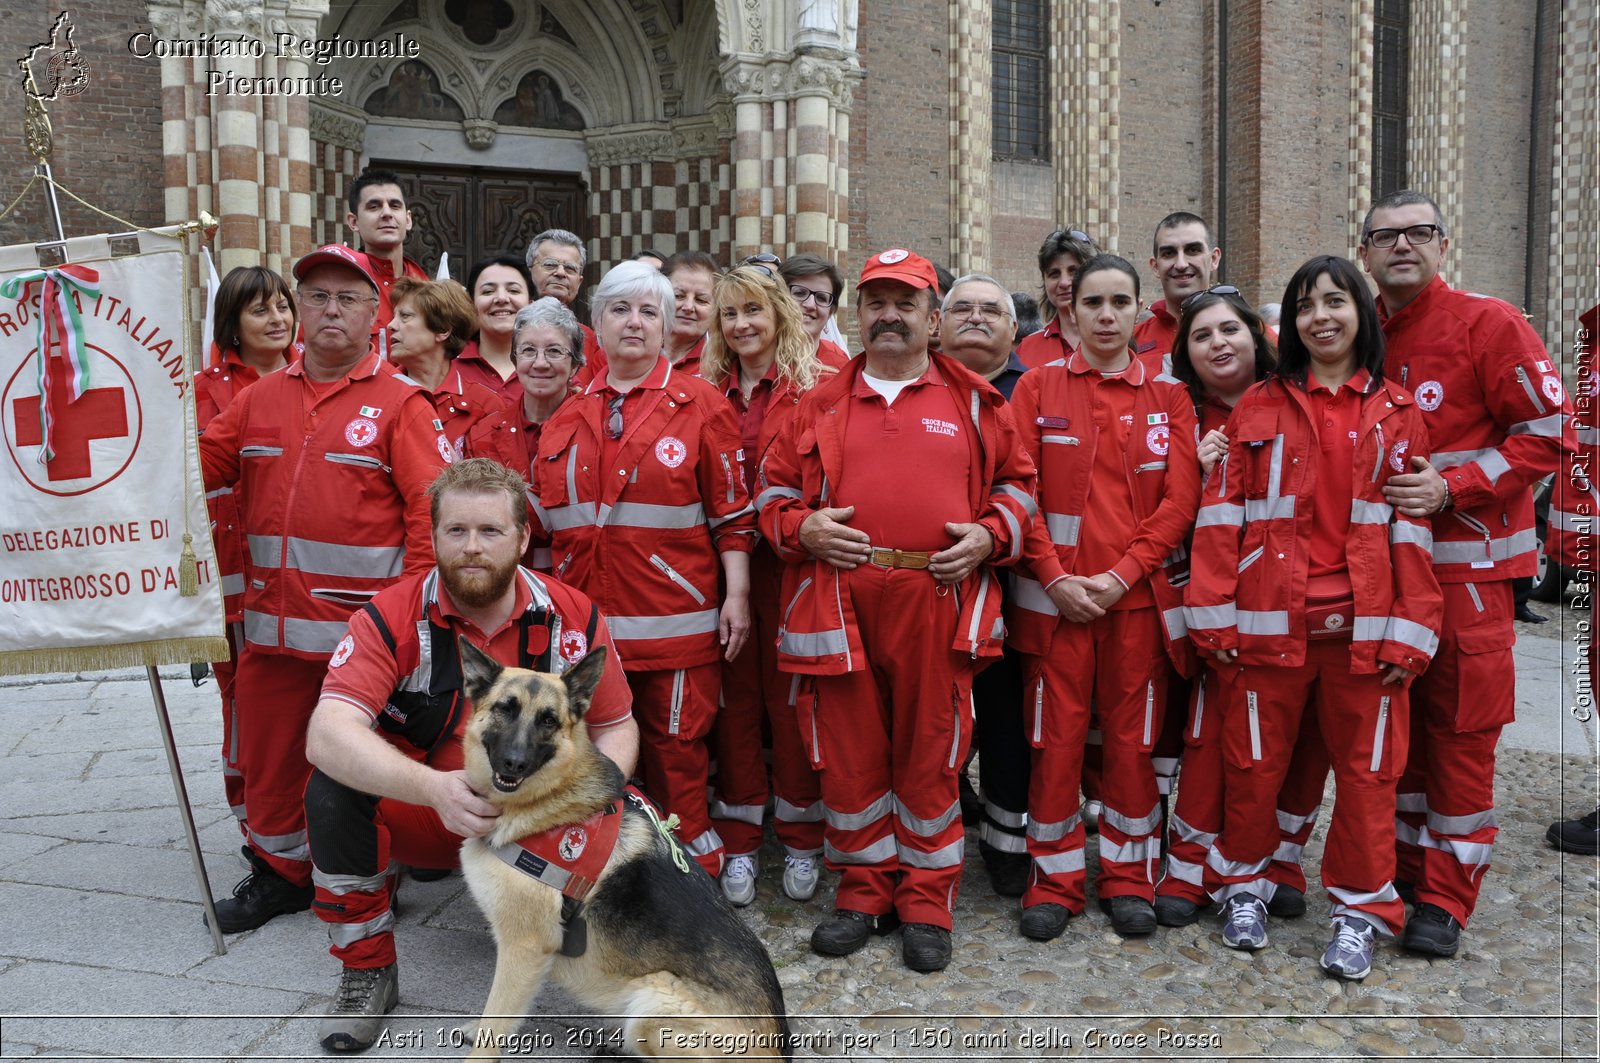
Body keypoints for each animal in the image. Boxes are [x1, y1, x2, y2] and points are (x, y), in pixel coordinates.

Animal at [457, 640, 793, 1063]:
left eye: (549, 720)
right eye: (505, 708)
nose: (513, 764)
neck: (547, 799)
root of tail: (778, 1047)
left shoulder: (525, 948)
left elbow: (497, 1016)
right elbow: (498, 1016)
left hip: (652, 1004)